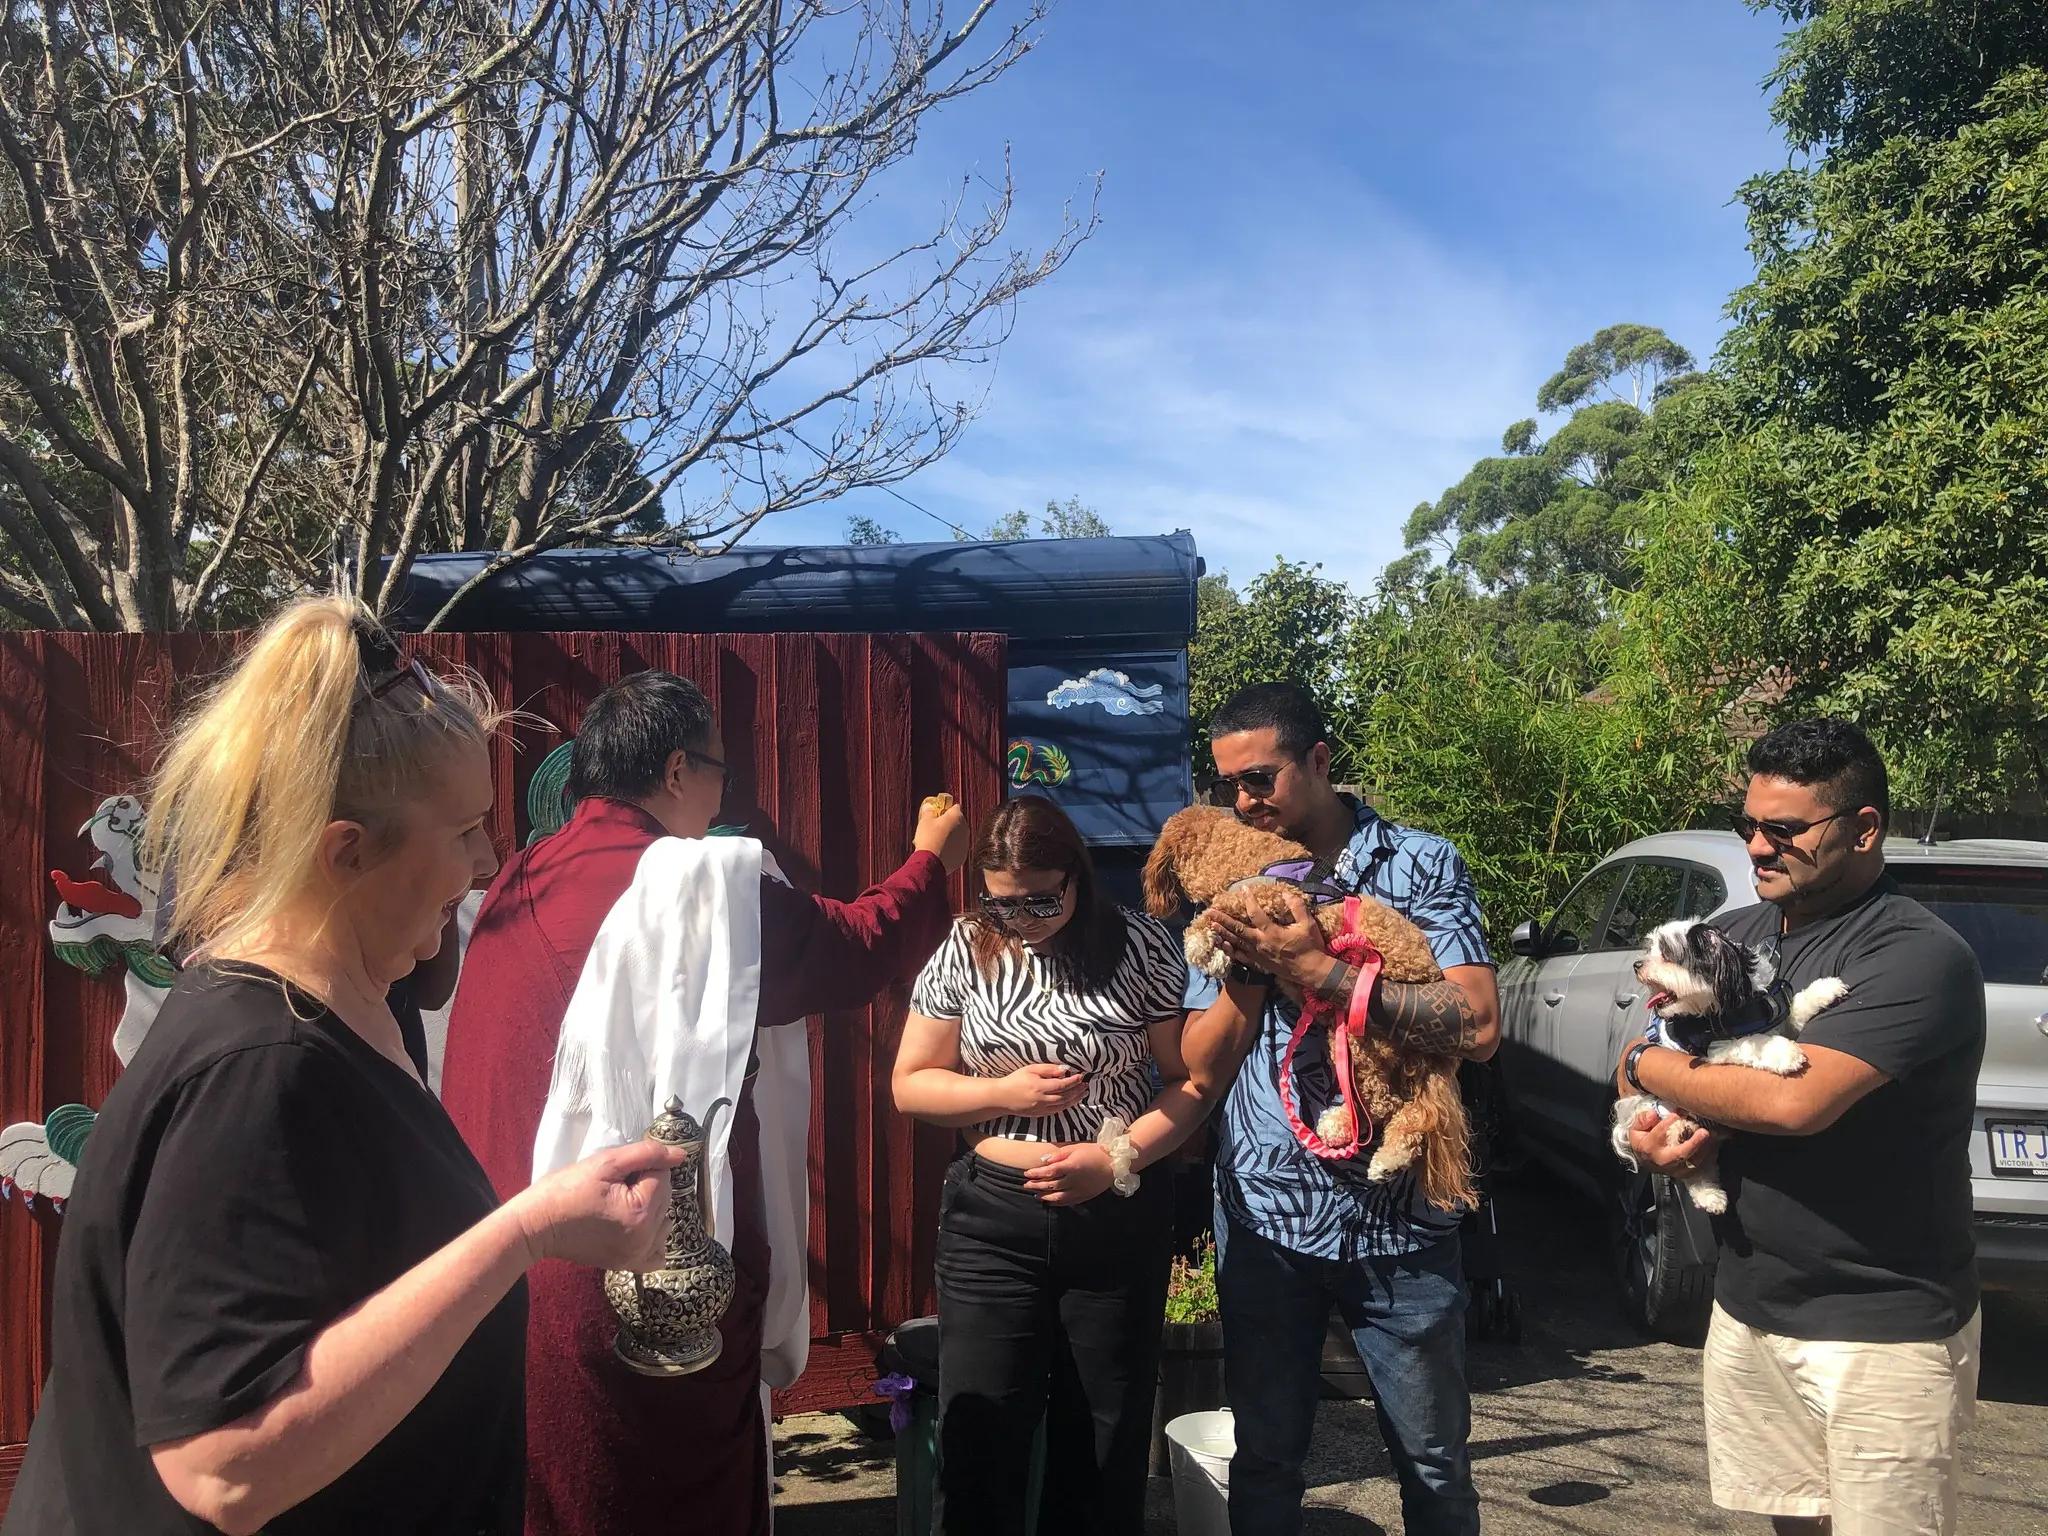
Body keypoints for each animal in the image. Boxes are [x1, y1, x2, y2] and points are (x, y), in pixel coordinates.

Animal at [1155, 806, 1474, 1212]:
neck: (1238, 851)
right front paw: (1221, 956)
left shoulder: (1272, 896)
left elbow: (1221, 908)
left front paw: (1199, 941)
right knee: (1410, 1112)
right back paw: (1385, 1155)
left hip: (1361, 1035)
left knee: (1382, 1102)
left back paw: (1343, 1128)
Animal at [1613, 921, 1859, 1220]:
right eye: (1651, 949)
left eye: (1668, 954)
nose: (1637, 964)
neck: (1735, 1003)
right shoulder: (1714, 1048)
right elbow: (1754, 1042)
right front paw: (1784, 1053)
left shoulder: (1777, 1020)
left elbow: (1795, 1008)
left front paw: (1825, 990)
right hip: (1664, 1110)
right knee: (1689, 1166)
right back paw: (1686, 1143)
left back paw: (1711, 1195)